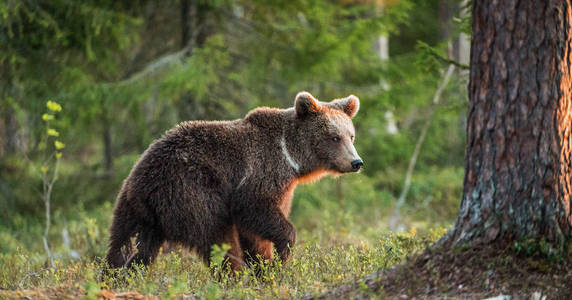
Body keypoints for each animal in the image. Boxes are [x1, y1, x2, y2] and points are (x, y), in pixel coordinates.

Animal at [105, 91, 364, 270]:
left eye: (351, 136)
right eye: (334, 137)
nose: (356, 162)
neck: (290, 156)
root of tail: (148, 189)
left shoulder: (285, 187)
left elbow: (255, 234)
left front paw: (264, 266)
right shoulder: (262, 173)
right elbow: (254, 210)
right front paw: (280, 255)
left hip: (132, 206)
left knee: (126, 247)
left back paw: (118, 276)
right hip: (191, 191)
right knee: (219, 238)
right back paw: (232, 276)